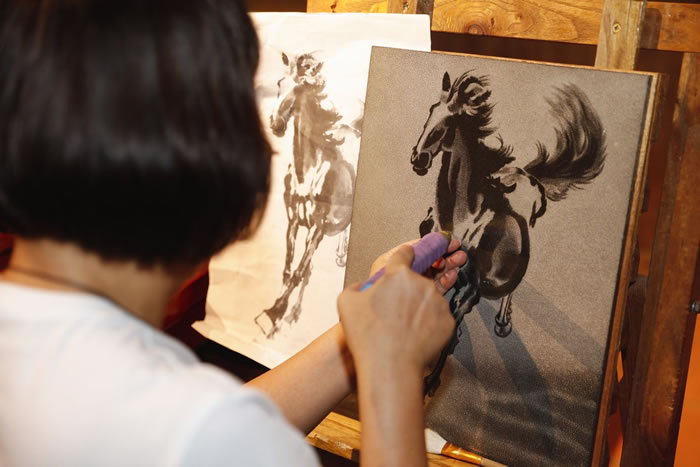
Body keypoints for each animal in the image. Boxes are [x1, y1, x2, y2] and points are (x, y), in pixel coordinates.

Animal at [255, 52, 360, 338]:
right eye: (279, 83)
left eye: (301, 87)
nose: (276, 124)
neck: (307, 176)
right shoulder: (293, 222)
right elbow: (289, 269)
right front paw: (279, 315)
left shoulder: (317, 229)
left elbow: (299, 273)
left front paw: (273, 314)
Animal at [411, 71, 606, 340]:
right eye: (431, 109)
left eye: (449, 121)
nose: (418, 159)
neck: (459, 219)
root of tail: (527, 174)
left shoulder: (470, 290)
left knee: (512, 286)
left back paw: (502, 323)